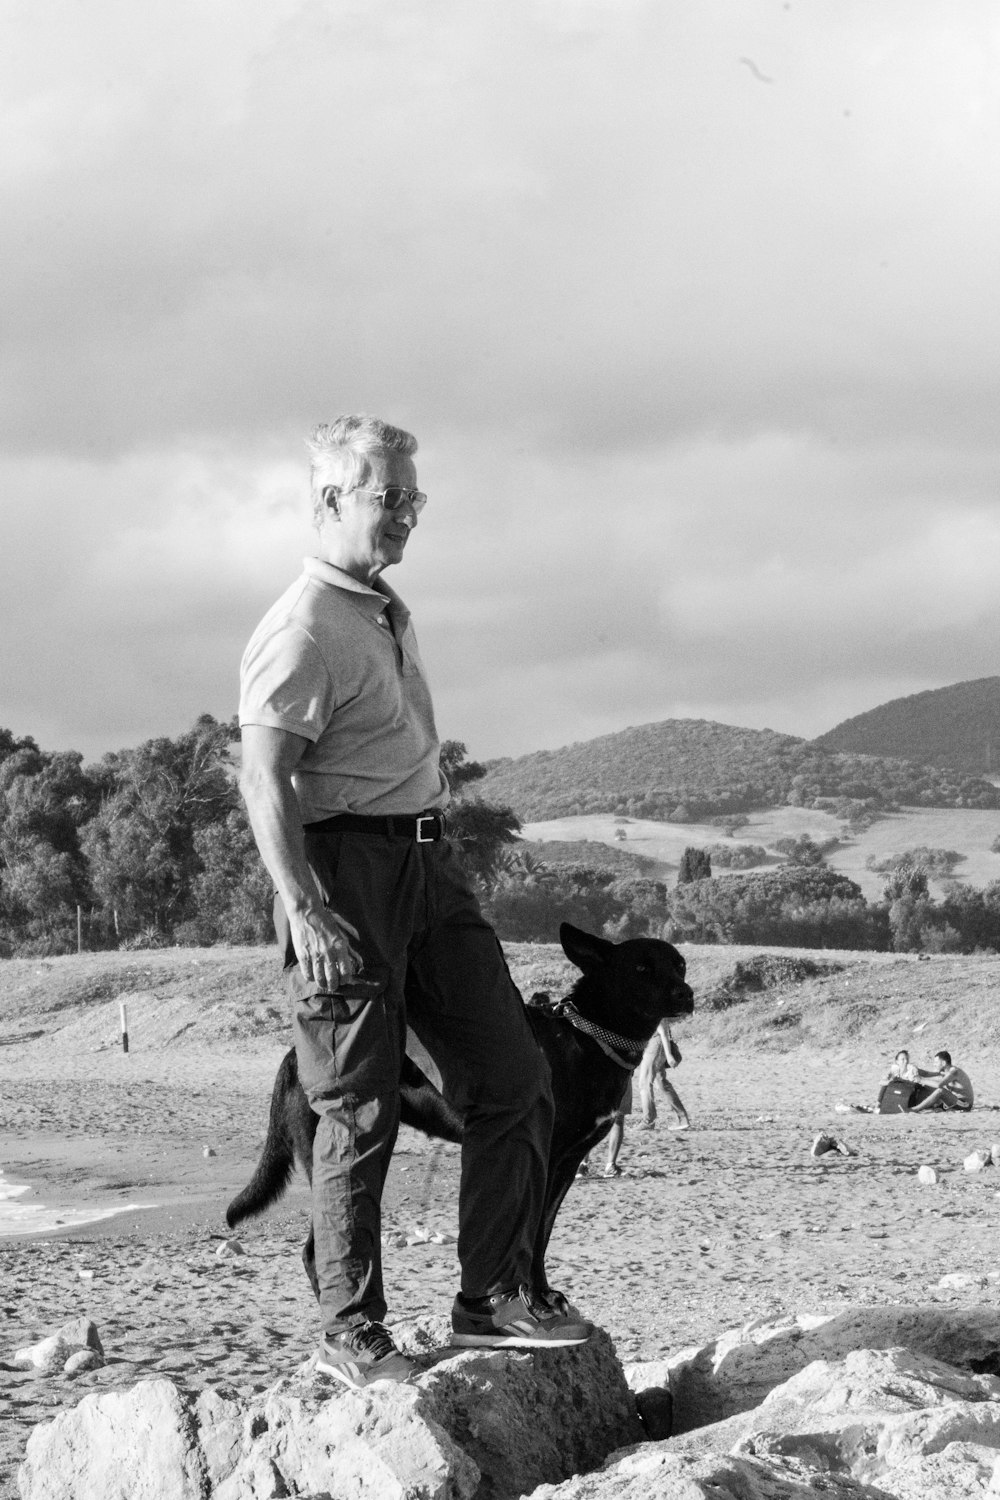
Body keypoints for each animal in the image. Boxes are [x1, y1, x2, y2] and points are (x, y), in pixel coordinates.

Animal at [226, 918, 695, 1308]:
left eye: (680, 965)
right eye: (641, 968)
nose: (686, 995)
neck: (586, 1038)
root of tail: (294, 1056)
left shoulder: (566, 1163)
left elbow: (542, 1235)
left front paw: (544, 1293)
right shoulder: (539, 1157)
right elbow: (528, 1236)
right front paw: (531, 1298)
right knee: (315, 1250)